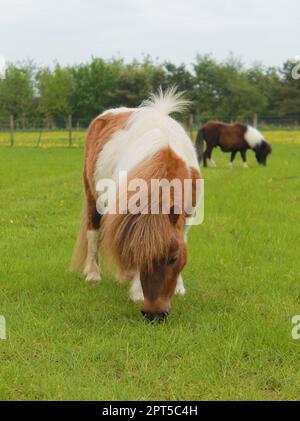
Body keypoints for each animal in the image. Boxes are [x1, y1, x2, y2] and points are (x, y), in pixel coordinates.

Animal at [69, 88, 202, 318]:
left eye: (173, 258)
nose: (154, 314)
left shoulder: (186, 217)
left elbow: (182, 240)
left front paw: (179, 288)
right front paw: (137, 291)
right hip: (92, 198)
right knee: (93, 234)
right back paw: (94, 274)